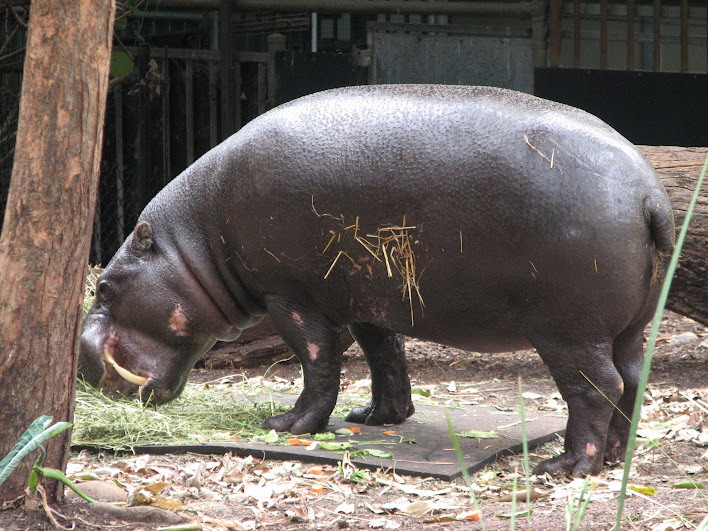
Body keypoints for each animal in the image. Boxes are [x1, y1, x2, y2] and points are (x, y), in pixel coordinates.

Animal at [80, 85, 675, 477]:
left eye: (103, 287)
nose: (80, 363)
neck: (194, 242)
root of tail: (650, 194)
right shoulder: (367, 296)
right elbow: (385, 355)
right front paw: (374, 417)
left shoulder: (289, 294)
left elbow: (318, 359)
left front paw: (288, 425)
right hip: (628, 327)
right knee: (633, 378)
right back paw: (615, 458)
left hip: (567, 330)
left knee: (597, 388)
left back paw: (566, 466)